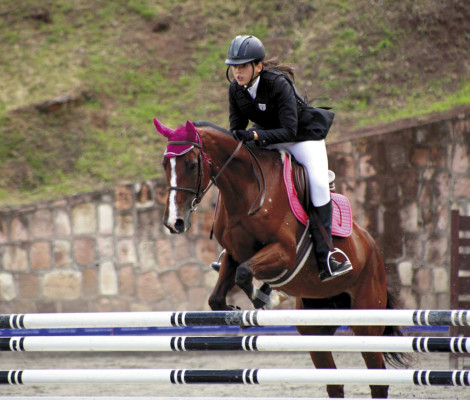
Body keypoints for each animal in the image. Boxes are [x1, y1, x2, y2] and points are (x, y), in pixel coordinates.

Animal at [155, 118, 408, 396]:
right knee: (334, 382)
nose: (175, 222)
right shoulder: (234, 253)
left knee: (377, 379)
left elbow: (245, 274)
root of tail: (372, 245)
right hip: (315, 327)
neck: (245, 189)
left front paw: (267, 299)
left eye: (191, 164)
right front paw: (240, 308)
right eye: (165, 164)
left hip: (366, 321)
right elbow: (218, 297)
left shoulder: (284, 252)